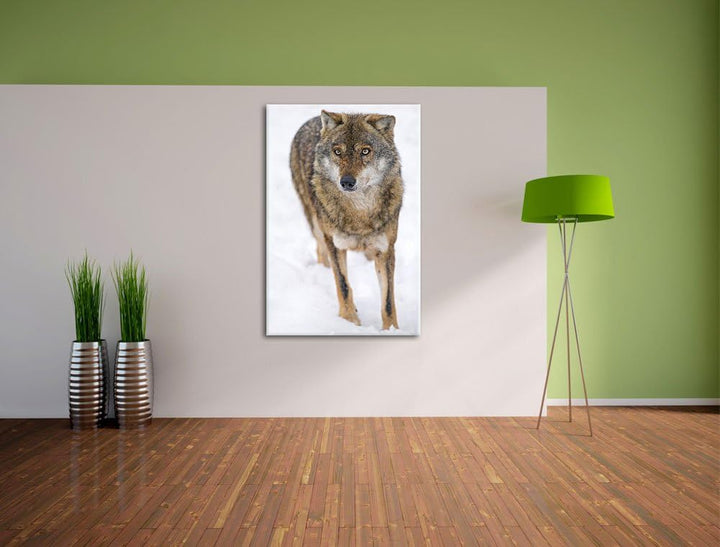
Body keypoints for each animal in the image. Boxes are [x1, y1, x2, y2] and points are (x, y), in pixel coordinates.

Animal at [290, 110, 404, 330]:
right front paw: (350, 321)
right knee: (321, 252)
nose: (347, 182)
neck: (359, 212)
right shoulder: (336, 245)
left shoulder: (386, 249)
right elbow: (343, 285)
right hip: (317, 226)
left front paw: (391, 330)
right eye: (338, 152)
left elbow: (387, 301)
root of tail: (313, 119)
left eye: (365, 151)